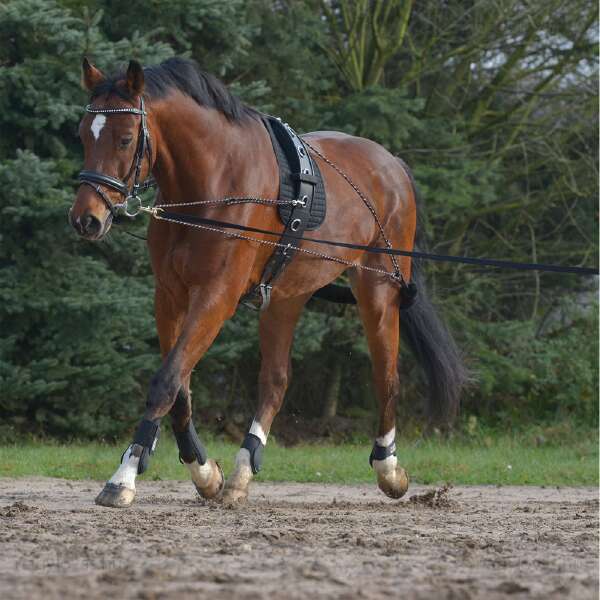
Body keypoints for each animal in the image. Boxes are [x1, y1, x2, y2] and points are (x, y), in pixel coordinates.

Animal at [69, 57, 464, 506]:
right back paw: (244, 468)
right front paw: (204, 472)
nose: (86, 219)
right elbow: (180, 387)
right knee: (275, 381)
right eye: (83, 134)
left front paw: (124, 477)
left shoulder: (216, 296)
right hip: (287, 296)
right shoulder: (169, 296)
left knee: (386, 376)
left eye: (125, 138)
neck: (213, 182)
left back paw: (388, 467)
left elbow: (166, 381)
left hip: (378, 290)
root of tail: (393, 164)